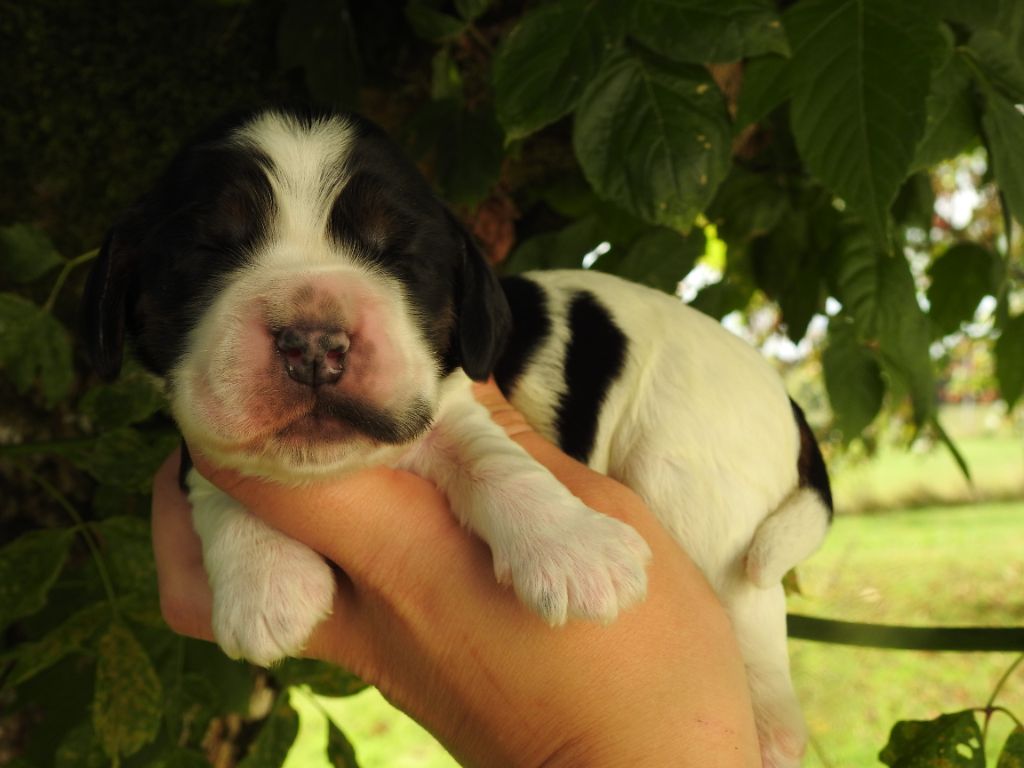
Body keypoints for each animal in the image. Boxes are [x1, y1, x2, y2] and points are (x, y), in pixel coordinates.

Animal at [79, 107, 831, 765]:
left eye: (396, 254)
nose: (314, 343)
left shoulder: (454, 404)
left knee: (752, 617)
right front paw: (265, 578)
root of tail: (785, 397)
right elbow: (219, 472)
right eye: (208, 250)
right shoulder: (197, 425)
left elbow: (494, 459)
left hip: (693, 480)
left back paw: (771, 730)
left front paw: (575, 551)